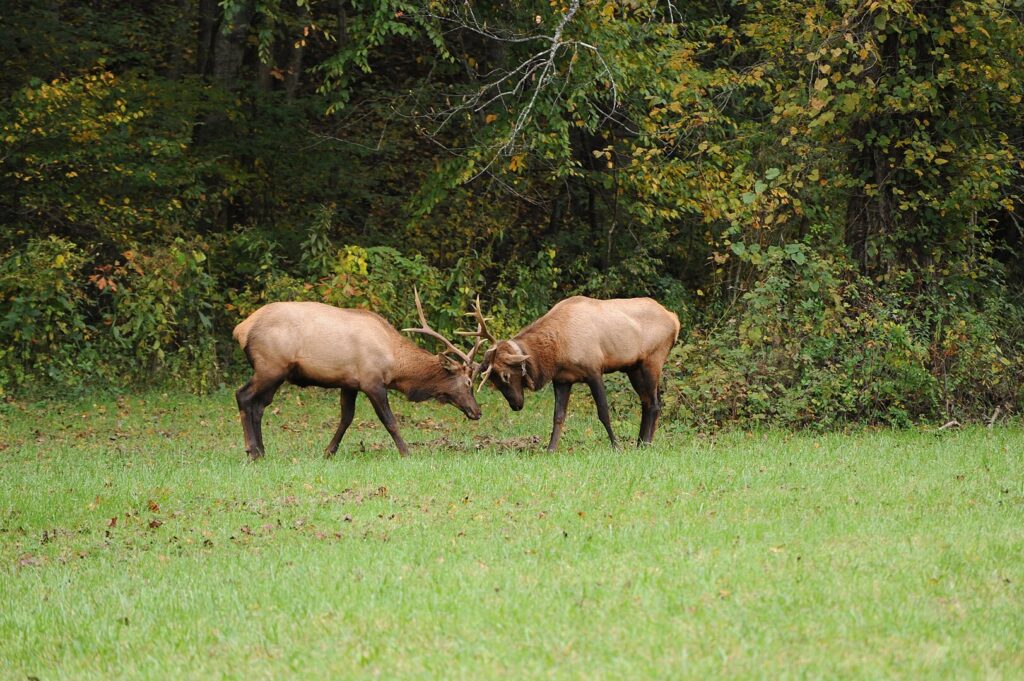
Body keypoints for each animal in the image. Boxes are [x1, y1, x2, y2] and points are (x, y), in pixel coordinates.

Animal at [232, 290, 489, 460]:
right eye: (468, 382)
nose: (477, 411)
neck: (395, 364)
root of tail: (241, 329)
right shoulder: (372, 381)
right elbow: (390, 421)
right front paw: (406, 452)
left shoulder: (349, 383)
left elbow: (346, 418)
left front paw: (328, 451)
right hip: (270, 366)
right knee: (243, 396)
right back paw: (252, 450)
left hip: (276, 373)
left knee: (260, 406)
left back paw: (262, 450)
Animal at [470, 296, 680, 451]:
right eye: (494, 381)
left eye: (505, 375)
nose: (516, 405)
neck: (557, 352)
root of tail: (675, 319)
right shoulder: (562, 379)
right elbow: (558, 416)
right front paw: (550, 449)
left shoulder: (594, 370)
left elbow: (603, 412)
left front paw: (616, 446)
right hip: (634, 367)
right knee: (647, 402)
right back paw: (640, 444)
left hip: (653, 360)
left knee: (654, 404)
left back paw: (645, 445)